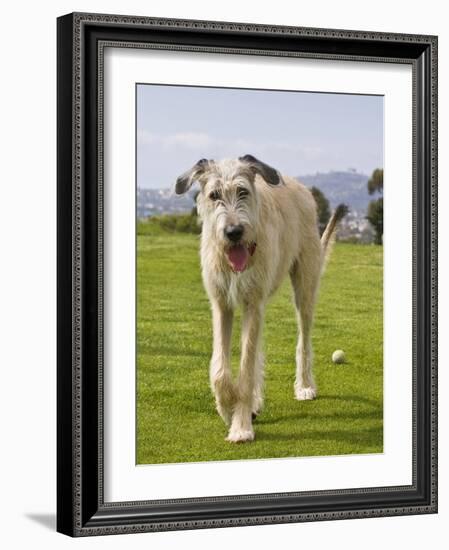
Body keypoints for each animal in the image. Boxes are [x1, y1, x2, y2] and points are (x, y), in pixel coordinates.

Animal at [173, 156, 344, 444]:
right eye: (214, 195)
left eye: (243, 191)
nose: (234, 232)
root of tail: (300, 186)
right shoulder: (221, 304)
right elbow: (220, 369)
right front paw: (227, 409)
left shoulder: (253, 304)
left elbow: (246, 369)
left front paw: (241, 426)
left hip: (305, 284)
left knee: (303, 338)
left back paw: (304, 386)